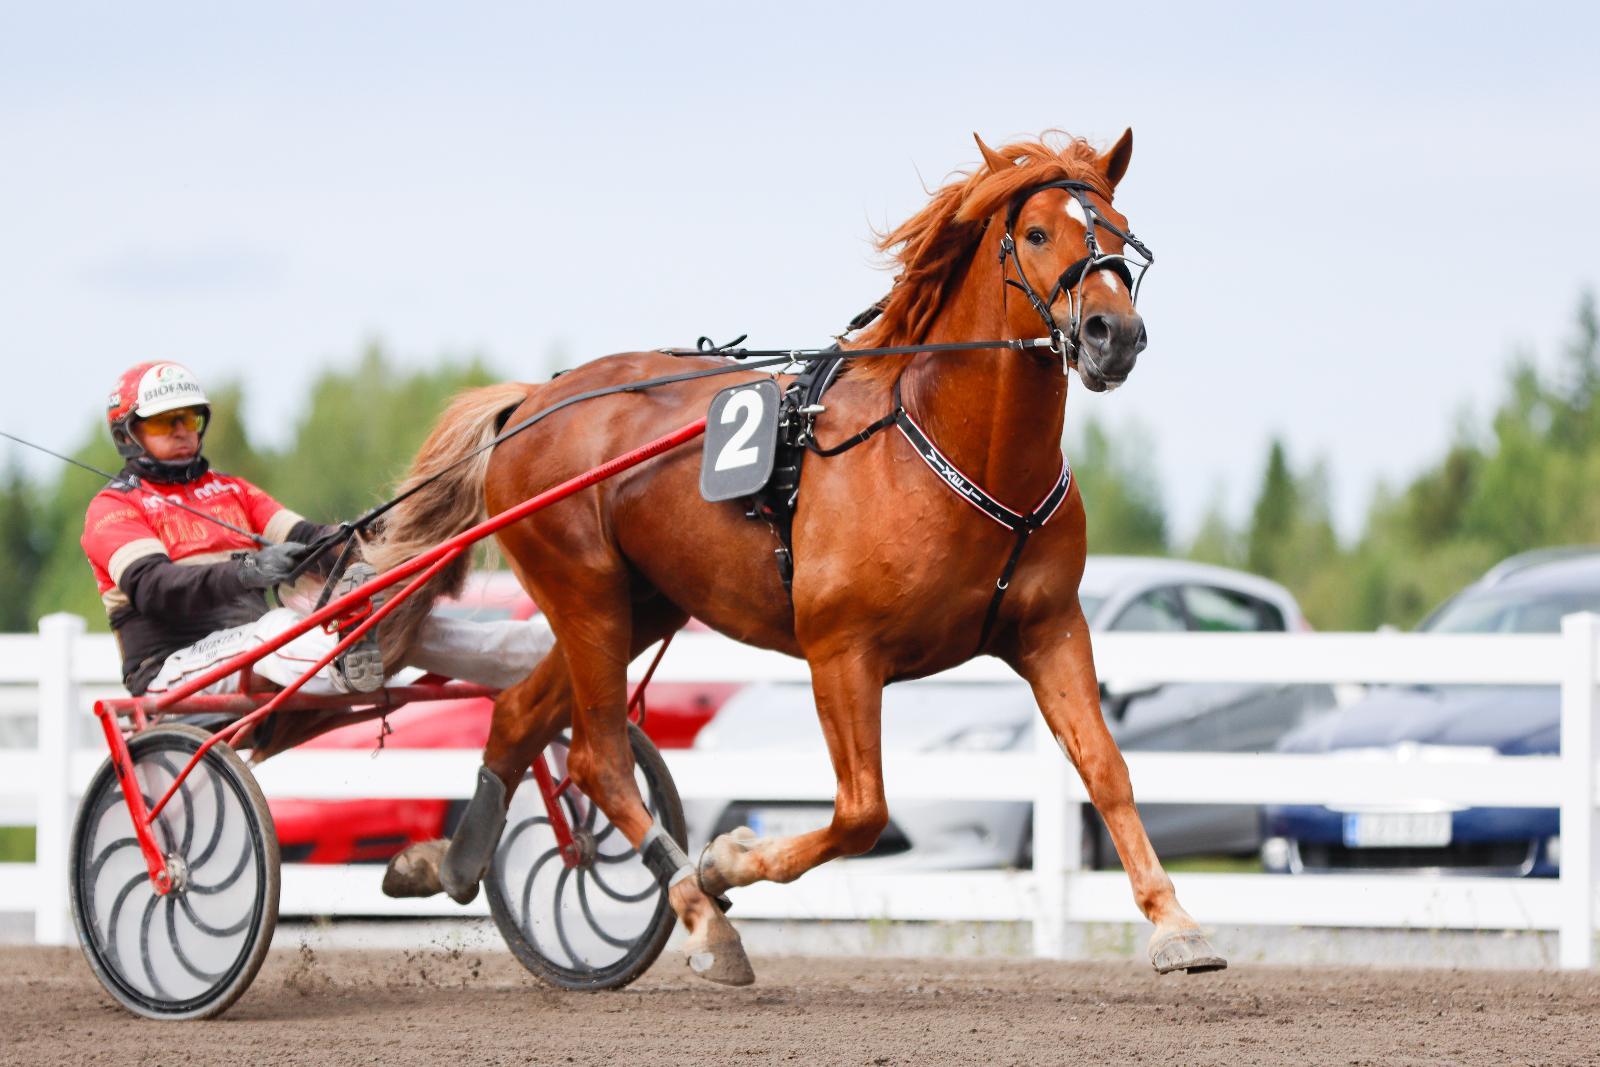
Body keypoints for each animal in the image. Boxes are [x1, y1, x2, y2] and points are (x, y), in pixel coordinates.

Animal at [371, 131, 1222, 985]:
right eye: (1039, 232)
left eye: (1121, 231)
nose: (1115, 333)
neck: (944, 448)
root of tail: (530, 403)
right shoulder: (841, 650)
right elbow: (861, 812)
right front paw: (724, 859)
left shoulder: (1050, 628)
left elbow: (1106, 768)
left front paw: (1175, 922)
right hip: (585, 596)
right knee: (598, 758)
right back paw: (700, 914)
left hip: (640, 605)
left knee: (521, 714)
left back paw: (451, 861)